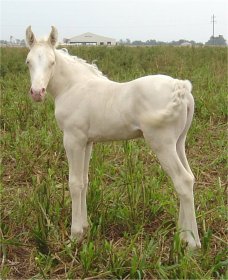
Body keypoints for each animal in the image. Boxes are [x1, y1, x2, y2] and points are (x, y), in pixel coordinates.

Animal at [25, 26, 201, 248]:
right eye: (28, 62)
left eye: (52, 62)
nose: (37, 92)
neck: (73, 87)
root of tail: (181, 88)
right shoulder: (87, 142)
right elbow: (84, 181)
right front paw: (85, 228)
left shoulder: (72, 140)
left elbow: (74, 183)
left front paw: (74, 236)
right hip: (179, 143)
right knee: (190, 178)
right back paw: (183, 235)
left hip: (162, 144)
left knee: (182, 181)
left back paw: (193, 244)